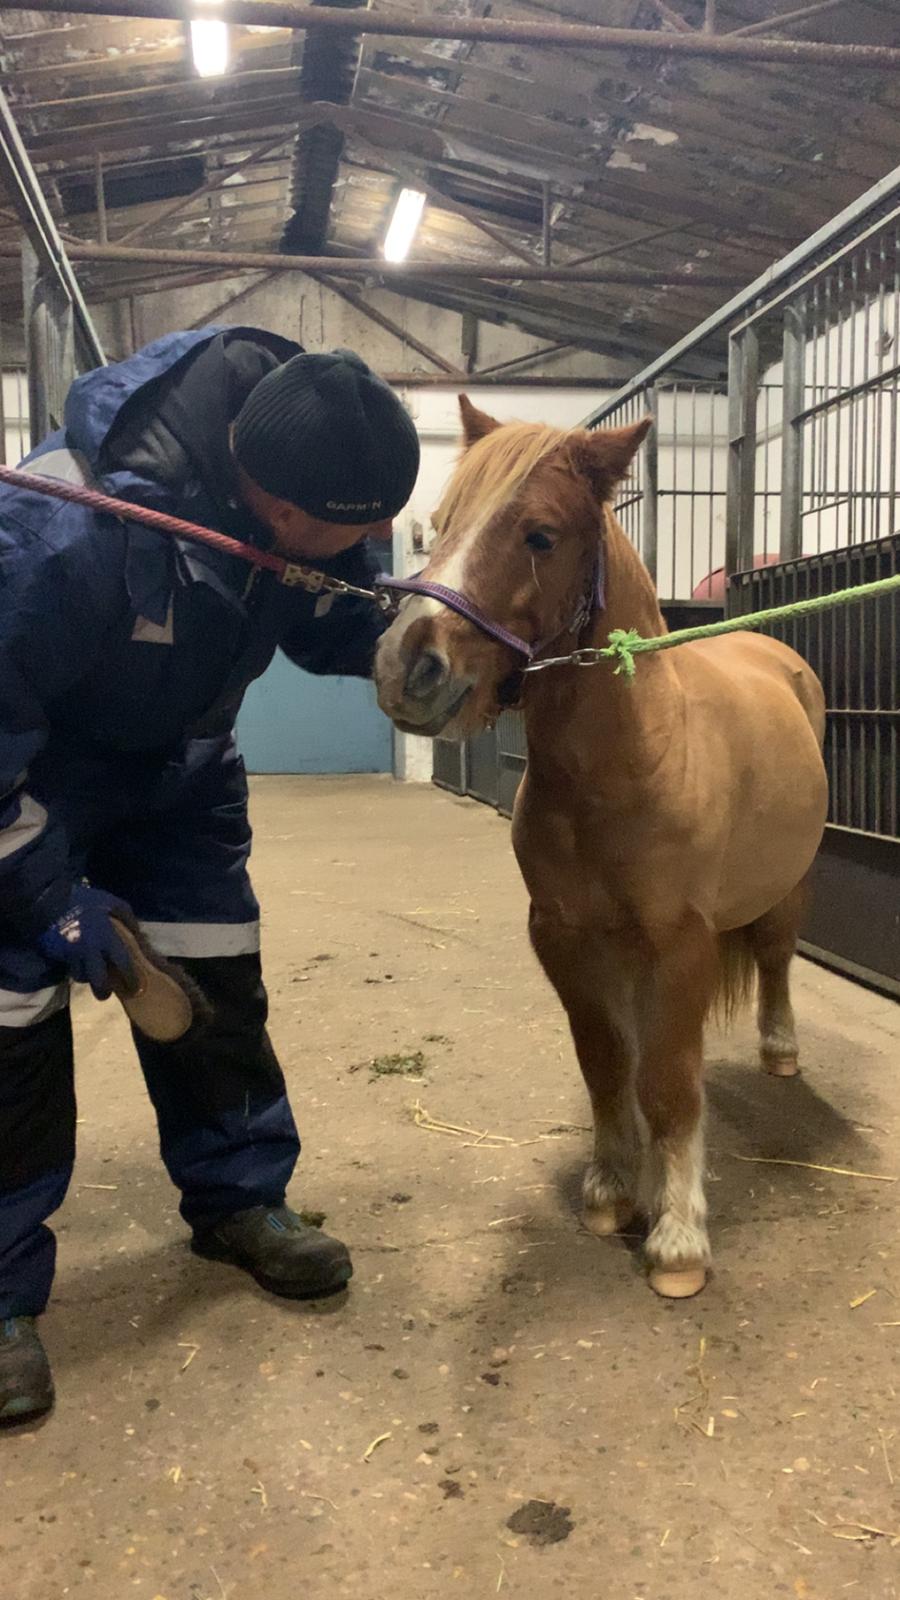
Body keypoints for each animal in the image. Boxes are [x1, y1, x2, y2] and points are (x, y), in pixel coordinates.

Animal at [374, 400, 826, 1299]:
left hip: (782, 889)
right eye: (440, 524)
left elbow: (671, 1084)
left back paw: (780, 1051)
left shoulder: (681, 945)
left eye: (540, 536)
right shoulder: (564, 936)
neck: (632, 760)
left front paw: (679, 1242)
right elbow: (607, 1063)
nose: (407, 668)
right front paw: (614, 1193)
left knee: (774, 960)